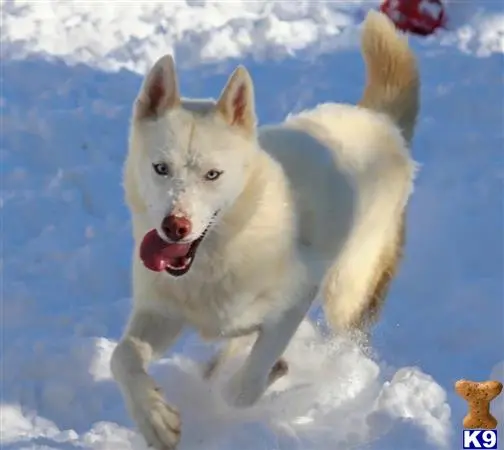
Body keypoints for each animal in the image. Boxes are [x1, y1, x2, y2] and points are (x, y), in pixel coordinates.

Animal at [111, 11, 422, 450]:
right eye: (160, 168)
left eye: (213, 175)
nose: (175, 227)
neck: (221, 253)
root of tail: (378, 120)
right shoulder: (161, 314)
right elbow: (121, 356)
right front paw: (155, 418)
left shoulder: (295, 301)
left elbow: (241, 388)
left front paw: (270, 374)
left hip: (347, 289)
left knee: (342, 337)